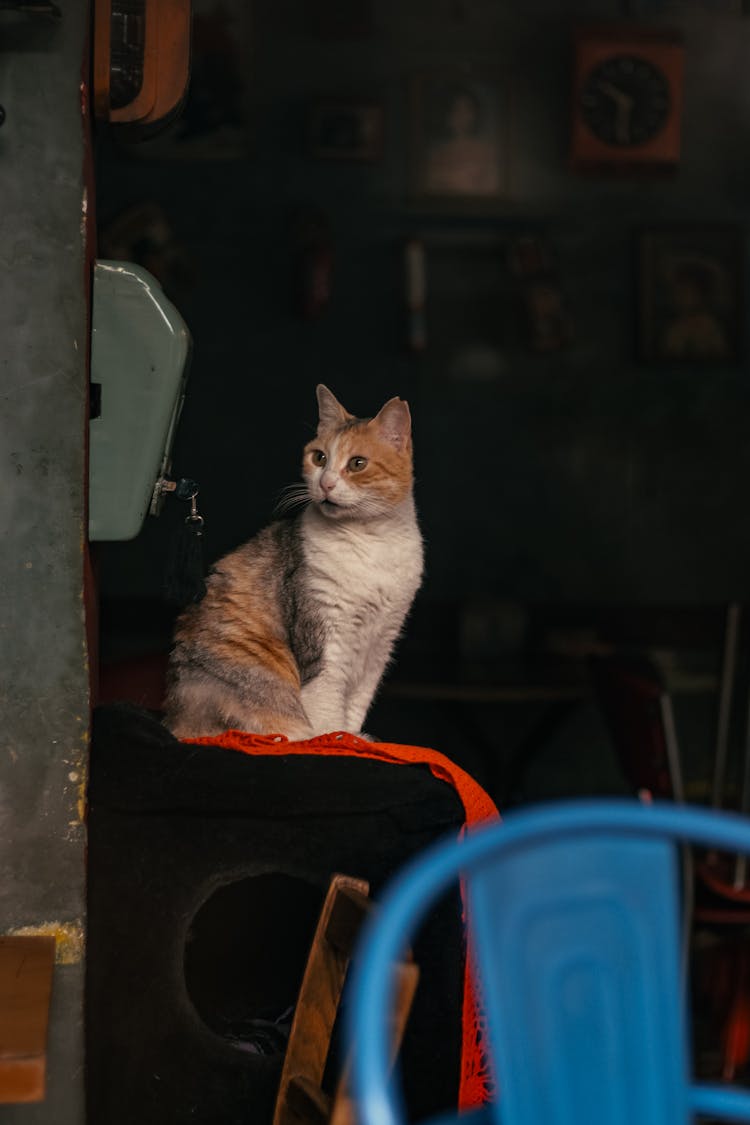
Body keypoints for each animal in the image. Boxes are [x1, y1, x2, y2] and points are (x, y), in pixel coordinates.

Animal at [164, 382, 422, 742]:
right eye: (319, 457)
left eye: (357, 463)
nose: (326, 483)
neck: (371, 541)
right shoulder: (325, 638)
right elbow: (328, 712)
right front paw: (339, 741)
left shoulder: (380, 643)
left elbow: (356, 706)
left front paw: (352, 735)